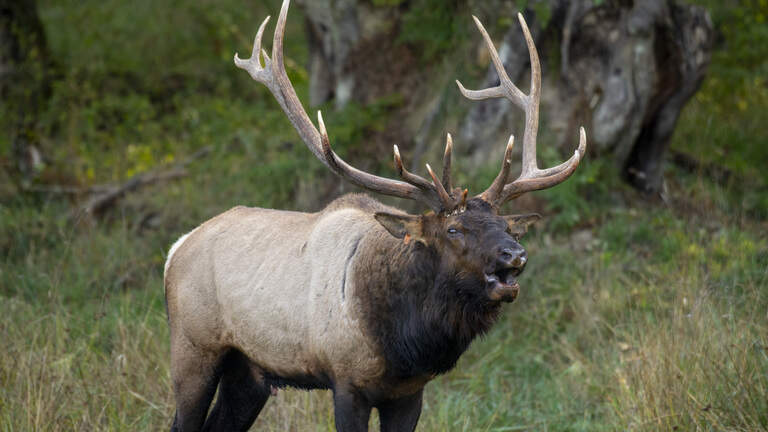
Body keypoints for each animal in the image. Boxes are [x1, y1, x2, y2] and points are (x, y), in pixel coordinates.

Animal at [164, 1, 586, 431]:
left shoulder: (410, 392)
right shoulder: (347, 381)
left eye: (506, 227)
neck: (404, 344)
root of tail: (176, 249)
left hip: (250, 371)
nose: (514, 255)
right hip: (193, 347)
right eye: (453, 228)